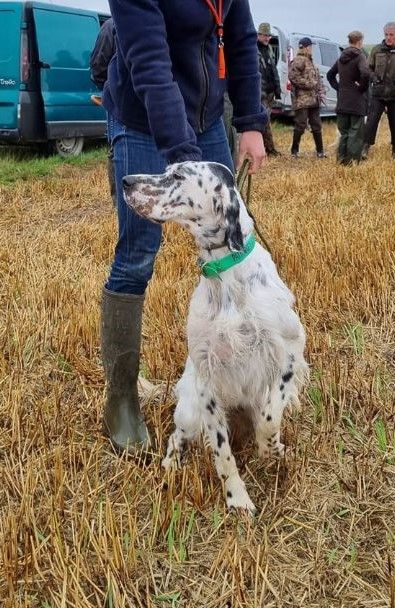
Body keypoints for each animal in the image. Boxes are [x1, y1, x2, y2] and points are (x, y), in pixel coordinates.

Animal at [124, 162, 310, 512]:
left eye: (178, 176)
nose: (126, 181)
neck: (225, 274)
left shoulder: (288, 353)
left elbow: (270, 418)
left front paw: (272, 449)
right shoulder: (208, 377)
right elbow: (222, 453)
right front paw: (237, 499)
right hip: (189, 408)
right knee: (177, 436)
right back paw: (171, 465)